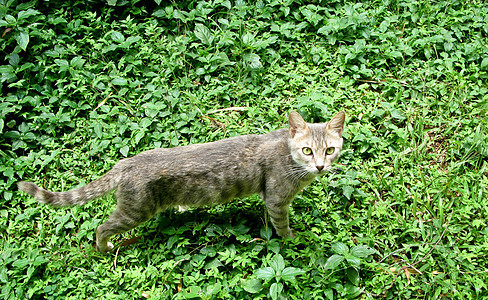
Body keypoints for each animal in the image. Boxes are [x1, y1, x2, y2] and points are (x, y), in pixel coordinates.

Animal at [17, 110, 346, 251]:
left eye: (330, 150)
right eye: (307, 150)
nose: (320, 166)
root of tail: (125, 163)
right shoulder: (276, 198)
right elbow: (281, 224)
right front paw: (292, 239)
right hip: (135, 211)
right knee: (102, 227)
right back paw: (104, 248)